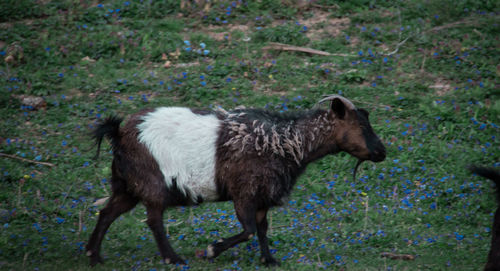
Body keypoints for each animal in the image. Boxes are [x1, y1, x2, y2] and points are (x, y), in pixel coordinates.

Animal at [86, 95, 386, 268]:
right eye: (361, 125)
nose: (382, 152)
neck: (286, 142)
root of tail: (119, 133)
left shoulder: (263, 197)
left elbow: (262, 228)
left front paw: (269, 260)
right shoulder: (245, 193)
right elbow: (249, 230)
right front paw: (211, 250)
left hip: (126, 185)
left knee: (108, 212)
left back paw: (94, 255)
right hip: (151, 184)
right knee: (154, 221)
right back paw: (174, 258)